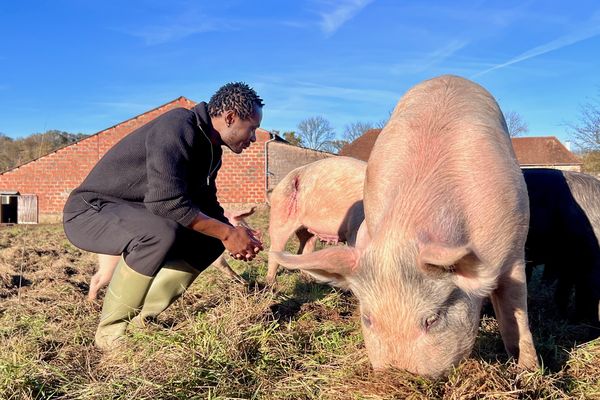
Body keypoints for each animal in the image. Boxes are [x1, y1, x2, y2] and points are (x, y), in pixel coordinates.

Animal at [86, 208, 253, 298]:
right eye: (242, 226)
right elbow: (224, 266)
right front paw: (245, 283)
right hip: (111, 263)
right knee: (96, 279)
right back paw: (92, 303)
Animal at [268, 156, 366, 284]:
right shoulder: (353, 229)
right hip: (280, 214)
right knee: (274, 249)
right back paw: (270, 283)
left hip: (307, 231)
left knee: (304, 250)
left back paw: (307, 279)